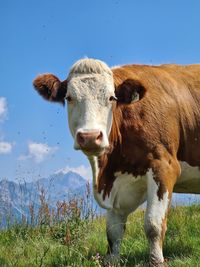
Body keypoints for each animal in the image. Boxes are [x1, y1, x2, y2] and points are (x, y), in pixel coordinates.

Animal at [33, 59, 200, 267]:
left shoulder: (164, 167)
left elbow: (153, 225)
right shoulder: (116, 183)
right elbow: (113, 232)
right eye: (69, 97)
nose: (89, 137)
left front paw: (157, 261)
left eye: (111, 97)